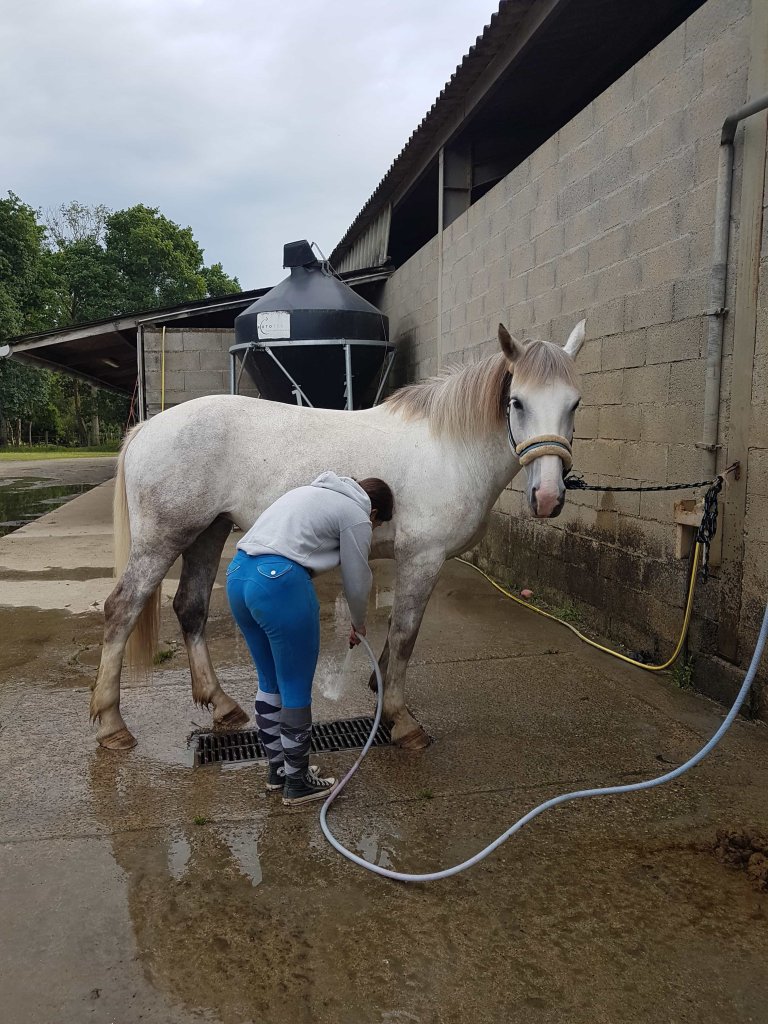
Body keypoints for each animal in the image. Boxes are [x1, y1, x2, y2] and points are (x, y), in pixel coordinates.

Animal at [90, 320, 585, 751]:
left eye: (575, 403)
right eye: (517, 402)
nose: (547, 497)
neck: (448, 448)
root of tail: (147, 427)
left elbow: (397, 634)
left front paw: (379, 689)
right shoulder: (422, 557)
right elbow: (406, 634)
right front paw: (402, 720)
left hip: (208, 532)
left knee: (190, 607)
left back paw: (222, 705)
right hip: (163, 540)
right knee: (122, 609)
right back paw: (112, 725)